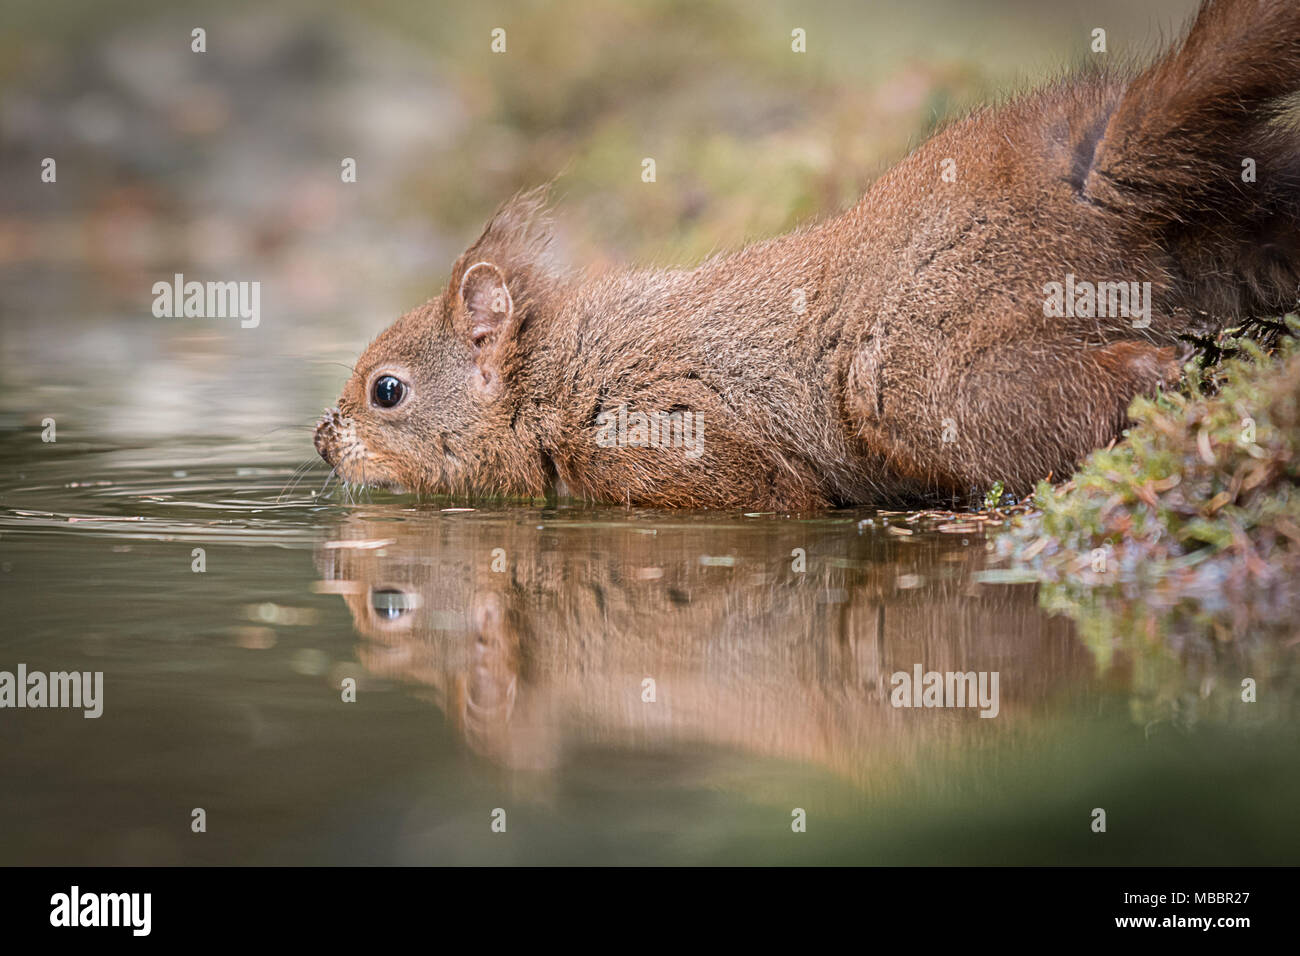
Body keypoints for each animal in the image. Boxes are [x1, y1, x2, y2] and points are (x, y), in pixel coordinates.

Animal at [316, 0, 1300, 510]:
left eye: (387, 390)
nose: (323, 444)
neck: (556, 377)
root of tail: (1086, 181)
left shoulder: (674, 436)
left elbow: (778, 496)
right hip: (1245, 213)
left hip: (925, 373)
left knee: (1099, 381)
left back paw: (1178, 370)